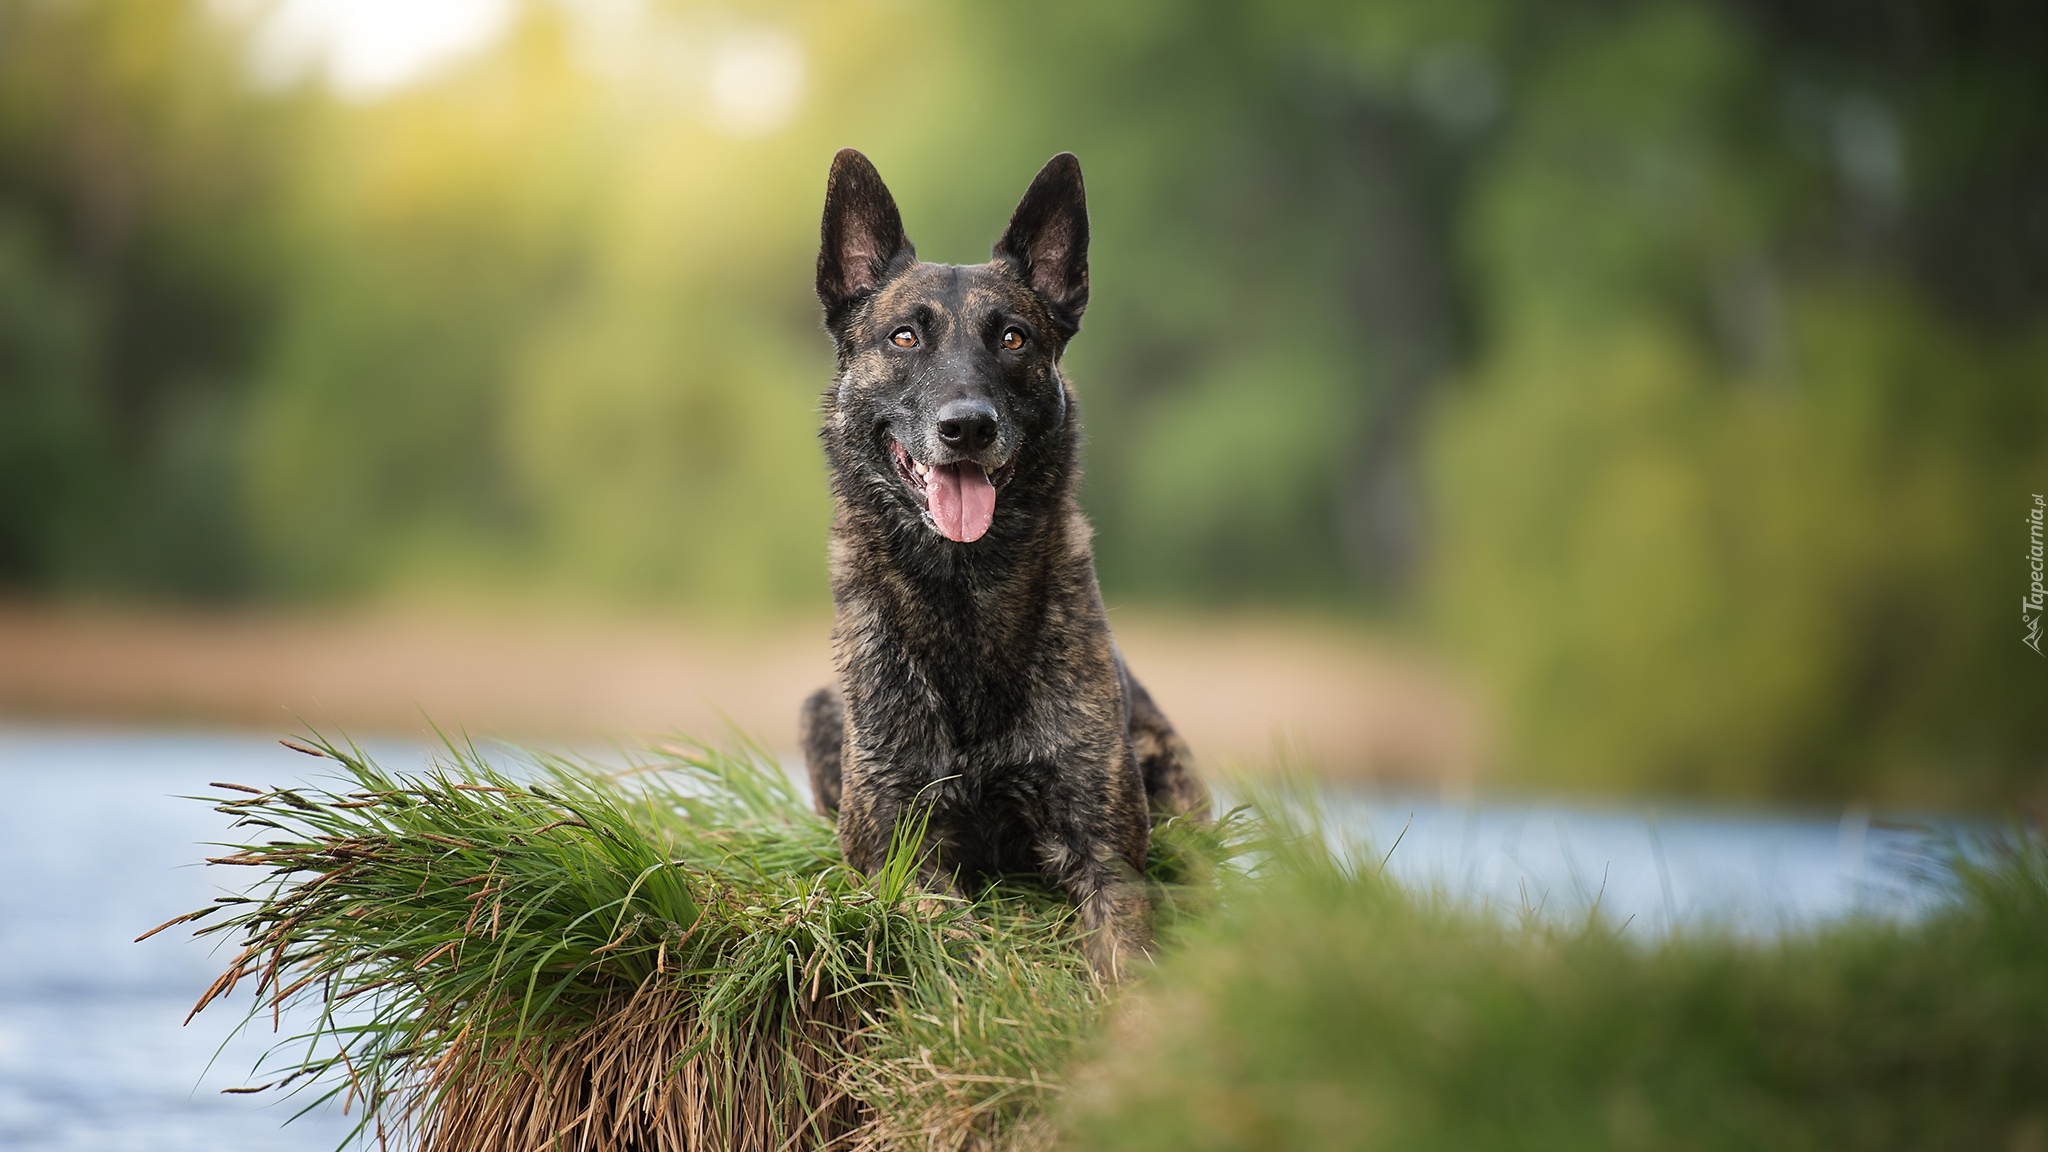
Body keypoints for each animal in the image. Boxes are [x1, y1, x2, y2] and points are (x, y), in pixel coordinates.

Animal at [794, 147, 1212, 971]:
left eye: (1014, 338)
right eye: (904, 338)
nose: (968, 427)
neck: (966, 598)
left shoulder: (1106, 859)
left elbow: (1127, 957)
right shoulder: (902, 857)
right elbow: (955, 940)